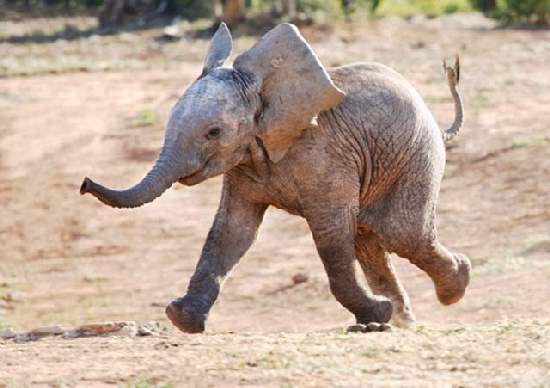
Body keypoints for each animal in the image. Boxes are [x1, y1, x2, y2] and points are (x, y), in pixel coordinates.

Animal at [81, 22, 470, 332]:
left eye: (213, 132)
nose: (84, 184)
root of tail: (437, 125)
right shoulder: (244, 164)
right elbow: (232, 230)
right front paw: (182, 319)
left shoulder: (325, 157)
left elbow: (330, 234)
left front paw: (377, 314)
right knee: (371, 240)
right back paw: (402, 320)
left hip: (417, 155)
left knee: (401, 233)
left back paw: (453, 288)